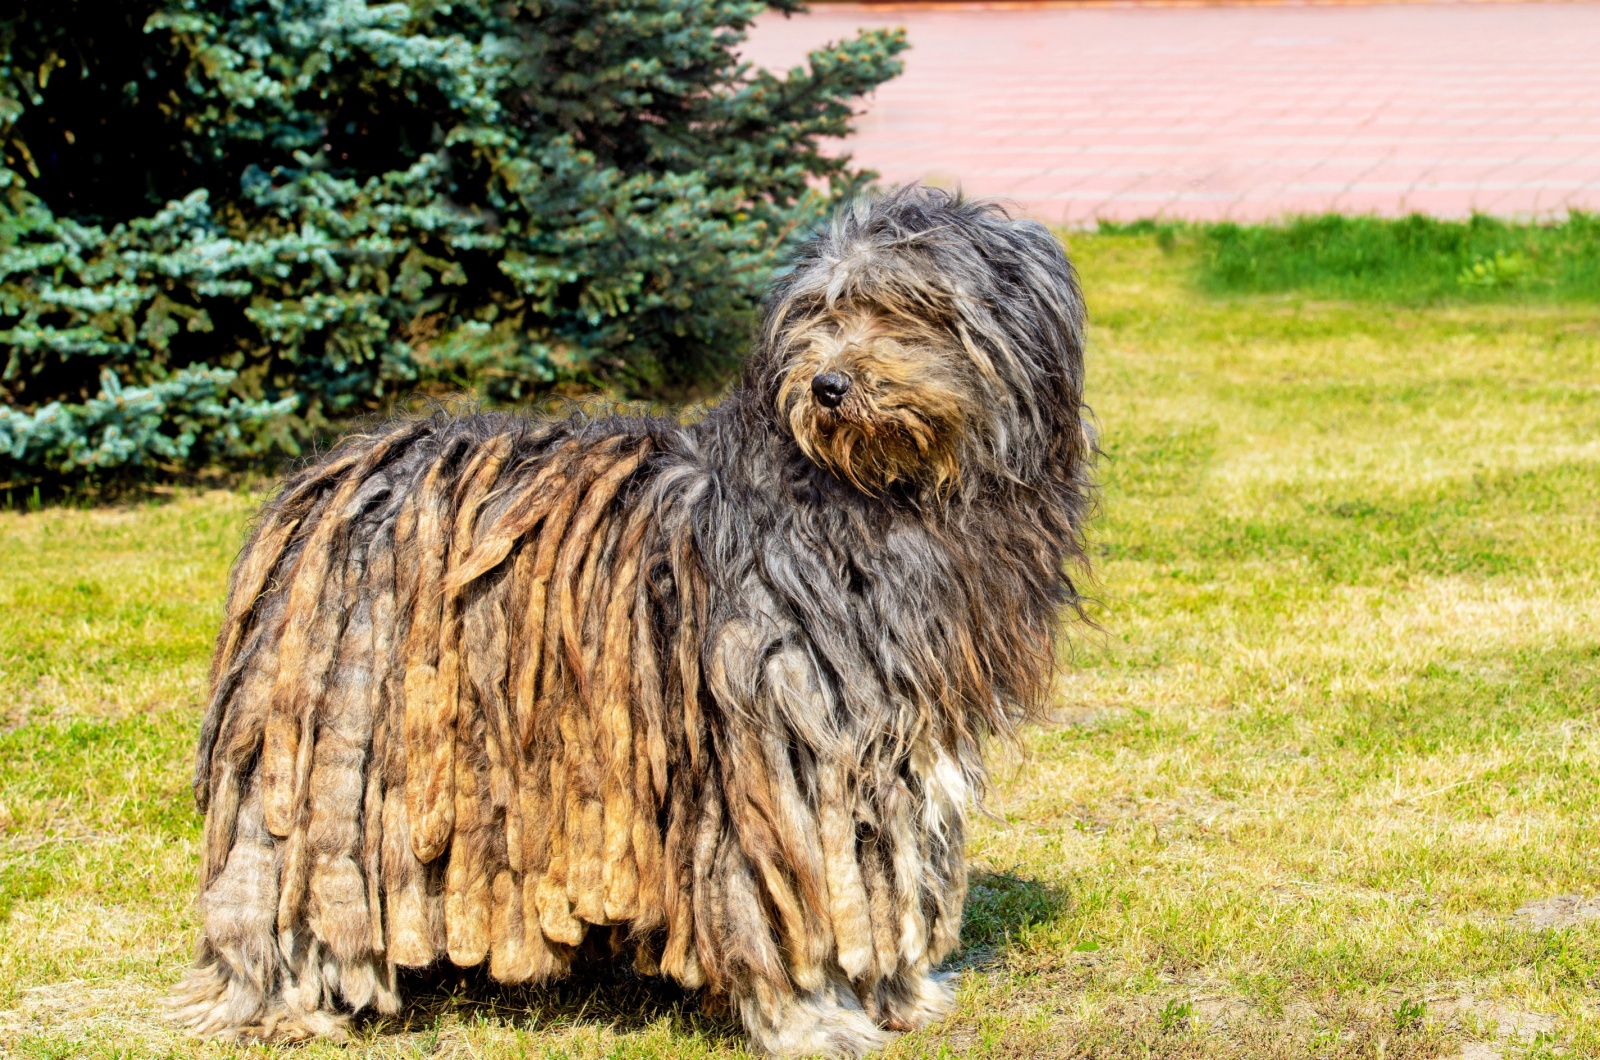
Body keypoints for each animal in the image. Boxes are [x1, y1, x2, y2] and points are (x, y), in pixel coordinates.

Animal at [178, 186, 1100, 1056]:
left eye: (910, 306)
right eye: (820, 312)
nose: (829, 386)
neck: (877, 498)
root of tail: (332, 478)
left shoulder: (894, 739)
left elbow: (887, 867)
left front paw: (901, 993)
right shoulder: (771, 742)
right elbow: (783, 895)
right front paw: (811, 1019)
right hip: (328, 749)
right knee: (278, 876)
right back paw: (282, 1002)